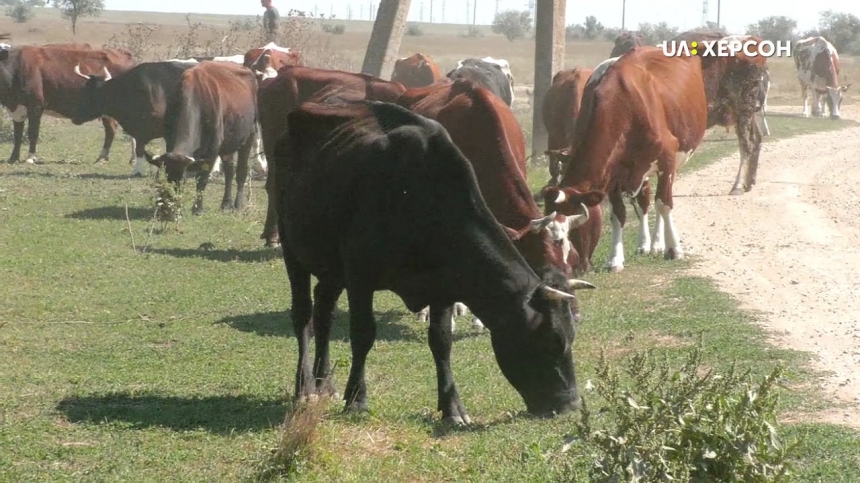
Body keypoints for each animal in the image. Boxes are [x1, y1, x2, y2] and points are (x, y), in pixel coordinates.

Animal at [74, 60, 256, 214]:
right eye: (169, 178)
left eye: (88, 92)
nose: (75, 116)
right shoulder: (164, 137)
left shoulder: (211, 148)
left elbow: (201, 178)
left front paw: (197, 208)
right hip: (230, 143)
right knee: (230, 170)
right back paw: (226, 203)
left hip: (249, 136)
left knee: (241, 170)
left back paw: (237, 202)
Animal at [276, 100, 584, 422]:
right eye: (554, 340)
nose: (570, 404)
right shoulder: (360, 277)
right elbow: (362, 334)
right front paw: (357, 399)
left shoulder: (443, 287)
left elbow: (441, 341)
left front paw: (452, 407)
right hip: (292, 249)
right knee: (303, 315)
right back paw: (306, 387)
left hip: (331, 268)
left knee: (324, 312)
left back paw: (325, 383)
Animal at [544, 47, 704, 274]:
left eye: (574, 226)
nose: (575, 268)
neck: (621, 104)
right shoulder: (613, 174)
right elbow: (618, 214)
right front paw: (615, 260)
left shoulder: (667, 160)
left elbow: (664, 205)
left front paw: (674, 249)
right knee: (645, 200)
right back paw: (646, 244)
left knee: (659, 200)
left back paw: (658, 243)